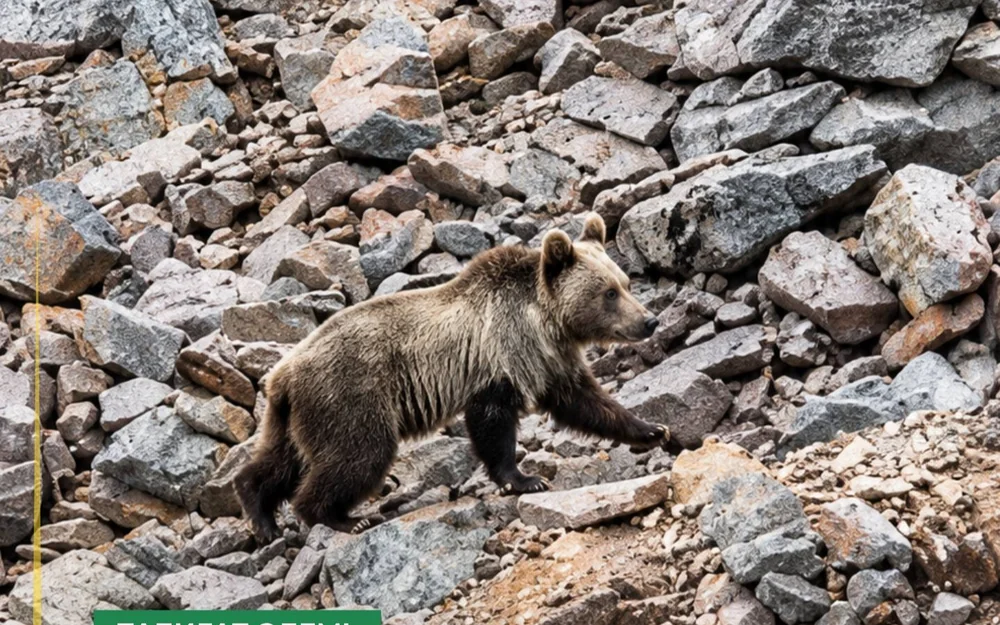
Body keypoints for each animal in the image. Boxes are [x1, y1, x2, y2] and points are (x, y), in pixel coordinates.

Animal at [235, 214, 668, 541]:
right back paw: (341, 517)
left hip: (299, 415)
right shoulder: (501, 357)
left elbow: (586, 402)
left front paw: (653, 429)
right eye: (608, 293)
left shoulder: (550, 362)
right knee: (357, 455)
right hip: (348, 395)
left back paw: (260, 513)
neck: (546, 322)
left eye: (625, 283)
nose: (649, 320)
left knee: (281, 461)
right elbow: (493, 423)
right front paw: (525, 479)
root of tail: (282, 375)